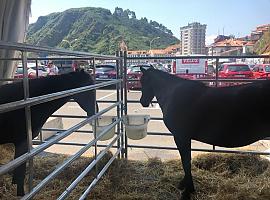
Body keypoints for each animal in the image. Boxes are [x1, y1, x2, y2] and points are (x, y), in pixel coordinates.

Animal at [139, 67, 270, 200]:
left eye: (143, 81)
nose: (142, 101)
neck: (173, 94)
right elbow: (186, 161)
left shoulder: (181, 137)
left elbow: (186, 162)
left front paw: (188, 191)